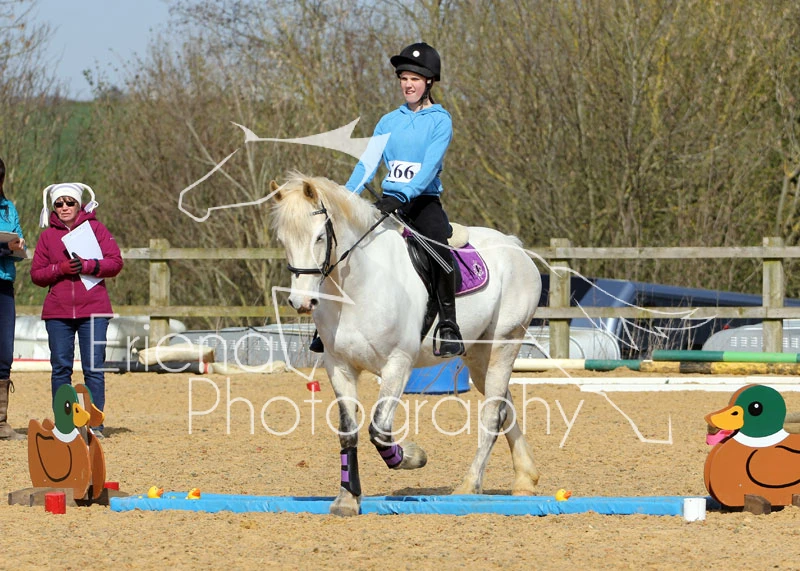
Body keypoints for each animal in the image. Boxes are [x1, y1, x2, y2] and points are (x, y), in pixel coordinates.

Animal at [270, 173, 543, 516]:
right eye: (282, 240)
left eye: (319, 237)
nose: (302, 302)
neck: (358, 286)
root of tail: (516, 247)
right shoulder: (339, 366)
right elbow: (348, 431)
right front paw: (347, 498)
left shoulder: (398, 364)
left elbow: (378, 430)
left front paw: (412, 457)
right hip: (478, 356)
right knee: (504, 405)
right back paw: (525, 478)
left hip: (503, 344)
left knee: (493, 414)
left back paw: (469, 486)